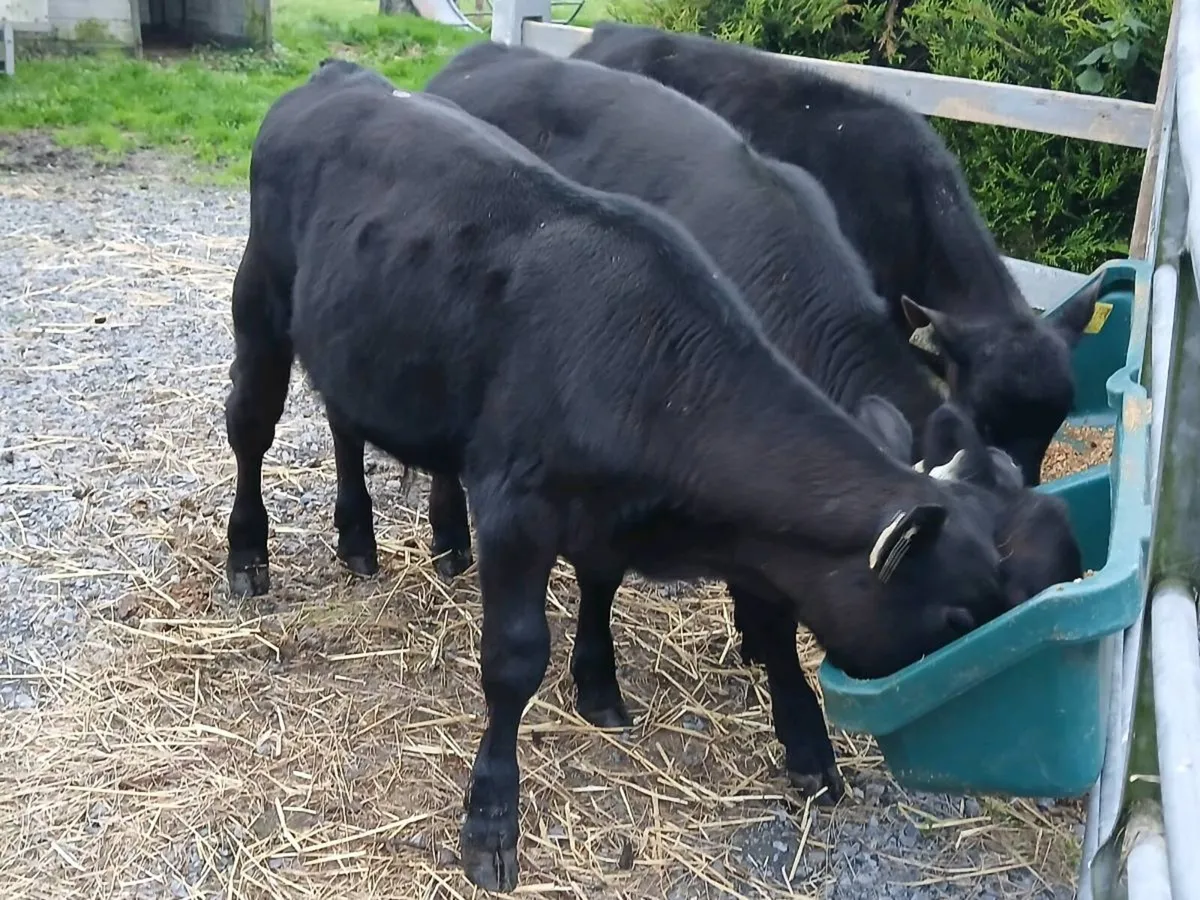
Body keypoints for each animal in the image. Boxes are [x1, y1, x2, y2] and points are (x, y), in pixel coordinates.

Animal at [228, 58, 1010, 892]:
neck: (653, 371)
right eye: (955, 617)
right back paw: (247, 556)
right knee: (250, 427)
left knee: (344, 421)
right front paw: (491, 821)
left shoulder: (609, 513)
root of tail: (342, 75)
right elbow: (513, 659)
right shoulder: (515, 506)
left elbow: (604, 585)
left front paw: (602, 686)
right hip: (260, 299)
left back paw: (358, 539)